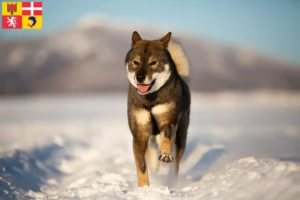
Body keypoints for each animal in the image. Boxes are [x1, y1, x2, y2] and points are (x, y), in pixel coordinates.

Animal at [125, 31, 191, 188]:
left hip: (181, 134)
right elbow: (142, 166)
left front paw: (165, 155)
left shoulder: (168, 121)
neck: (150, 100)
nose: (140, 77)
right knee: (152, 148)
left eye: (153, 63)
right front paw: (143, 187)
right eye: (135, 62)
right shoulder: (140, 132)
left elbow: (166, 140)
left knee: (175, 162)